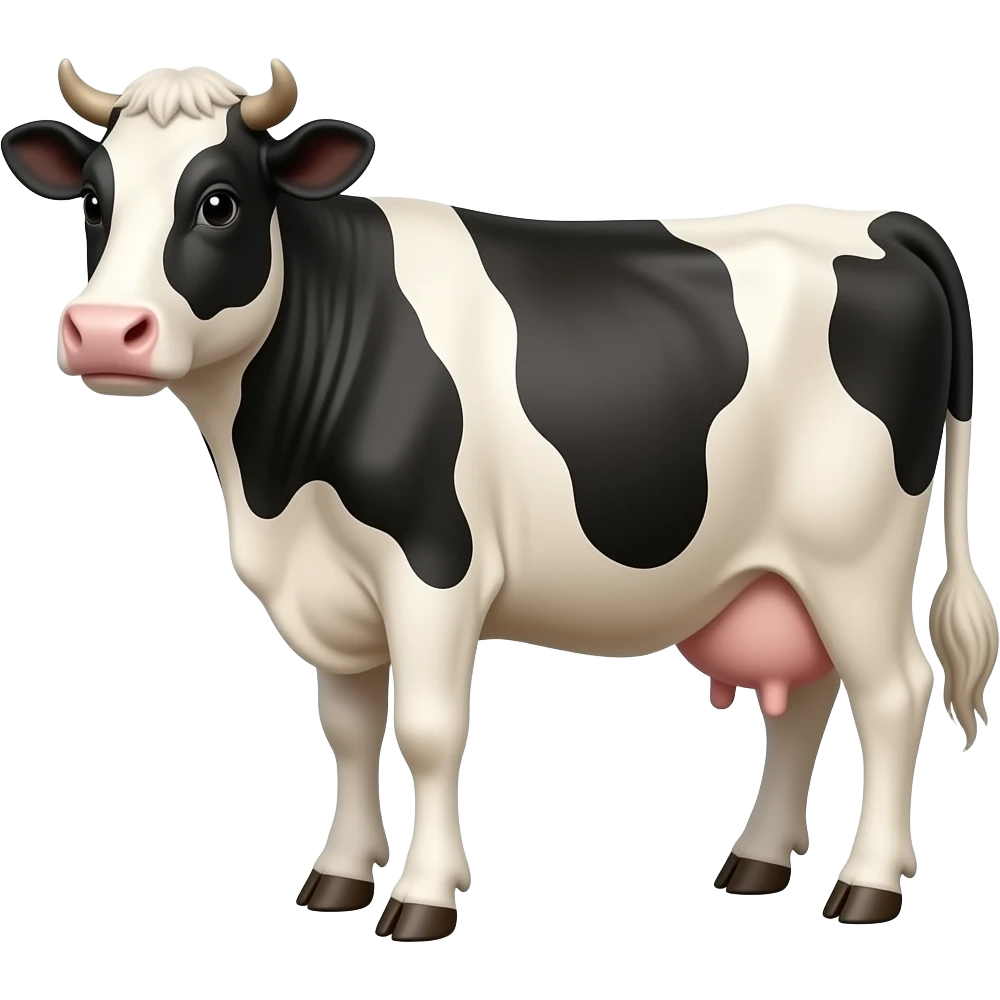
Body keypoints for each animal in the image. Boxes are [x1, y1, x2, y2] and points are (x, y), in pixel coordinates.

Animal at [3, 58, 996, 940]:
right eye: (93, 199)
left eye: (219, 202)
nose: (103, 331)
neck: (273, 481)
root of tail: (881, 221)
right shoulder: (331, 586)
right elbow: (349, 732)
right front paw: (337, 877)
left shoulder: (433, 563)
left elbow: (428, 730)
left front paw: (422, 899)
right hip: (787, 567)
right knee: (813, 694)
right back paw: (757, 861)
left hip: (854, 552)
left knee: (894, 692)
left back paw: (868, 886)